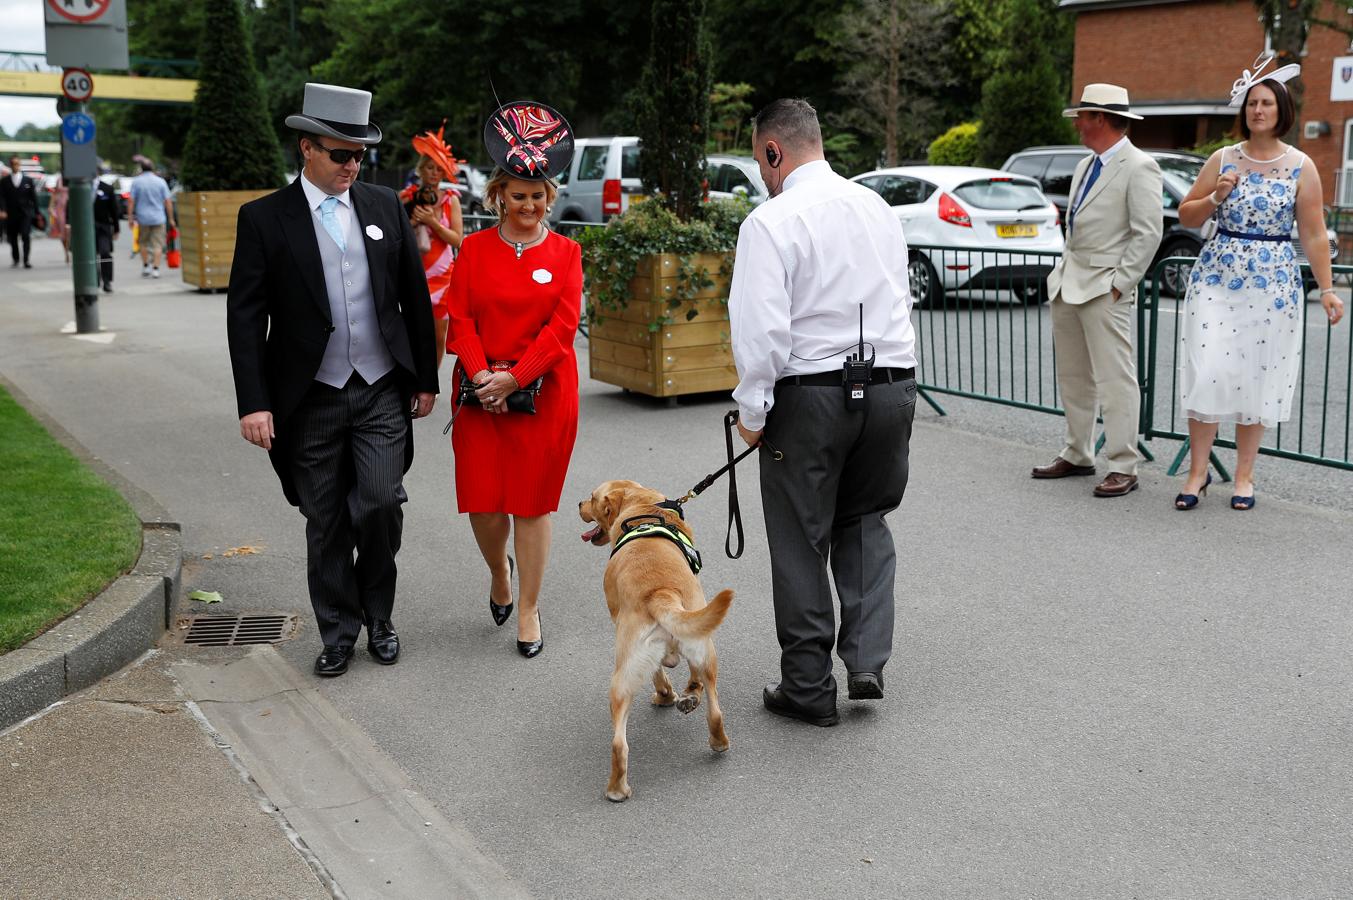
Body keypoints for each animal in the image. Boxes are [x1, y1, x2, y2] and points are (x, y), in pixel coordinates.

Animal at [579, 476, 736, 801]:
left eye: (591, 497)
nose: (578, 504)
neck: (642, 506)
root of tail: (660, 594)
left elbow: (659, 675)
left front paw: (666, 695)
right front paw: (684, 694)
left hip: (625, 672)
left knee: (620, 741)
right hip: (703, 648)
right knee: (713, 710)